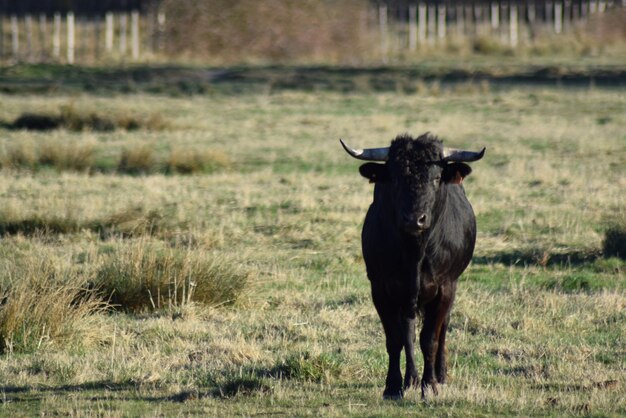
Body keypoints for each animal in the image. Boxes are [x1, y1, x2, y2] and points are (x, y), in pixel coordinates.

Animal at [342, 133, 482, 398]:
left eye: (436, 178)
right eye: (395, 179)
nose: (414, 219)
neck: (414, 252)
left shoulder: (445, 288)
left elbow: (430, 338)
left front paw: (430, 386)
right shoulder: (381, 288)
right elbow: (396, 338)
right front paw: (394, 386)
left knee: (443, 327)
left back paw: (440, 374)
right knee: (408, 330)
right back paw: (411, 379)